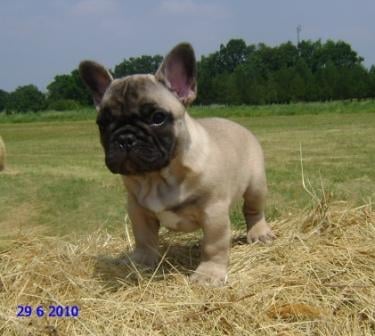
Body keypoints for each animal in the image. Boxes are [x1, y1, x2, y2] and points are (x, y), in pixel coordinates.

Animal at [79, 42, 274, 286]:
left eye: (157, 117)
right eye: (103, 123)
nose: (125, 138)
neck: (158, 177)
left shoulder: (214, 213)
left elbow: (214, 246)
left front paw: (209, 274)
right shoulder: (137, 210)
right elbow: (143, 239)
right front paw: (141, 261)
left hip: (256, 185)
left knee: (253, 210)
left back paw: (259, 232)